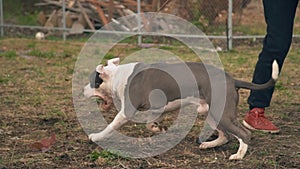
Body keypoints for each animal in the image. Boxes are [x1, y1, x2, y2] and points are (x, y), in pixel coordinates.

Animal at [82, 57, 278, 159]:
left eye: (92, 81)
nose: (82, 90)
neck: (117, 76)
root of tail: (232, 79)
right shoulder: (157, 108)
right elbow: (150, 123)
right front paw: (158, 128)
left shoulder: (126, 112)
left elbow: (110, 126)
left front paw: (96, 136)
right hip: (211, 112)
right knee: (225, 135)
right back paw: (208, 144)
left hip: (222, 113)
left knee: (244, 133)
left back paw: (238, 156)